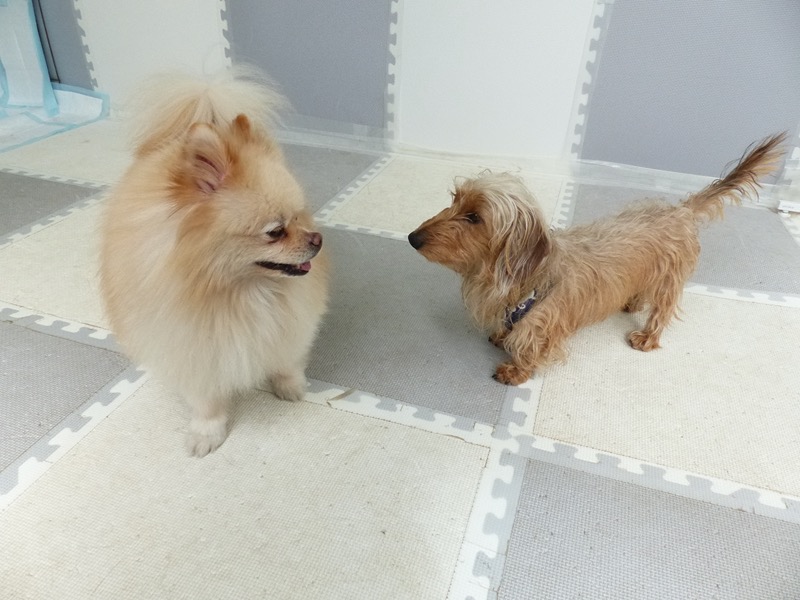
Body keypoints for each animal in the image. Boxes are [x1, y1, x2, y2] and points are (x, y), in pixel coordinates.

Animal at [99, 69, 329, 456]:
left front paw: (289, 385)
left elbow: (286, 356)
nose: (317, 240)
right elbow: (205, 399)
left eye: (301, 216)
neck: (236, 292)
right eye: (275, 231)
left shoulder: (290, 321)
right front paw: (207, 432)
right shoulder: (190, 344)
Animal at [408, 133, 786, 385]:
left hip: (670, 279)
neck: (529, 281)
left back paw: (647, 337)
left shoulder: (544, 326)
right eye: (455, 199)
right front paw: (502, 336)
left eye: (475, 217)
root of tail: (680, 209)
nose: (413, 238)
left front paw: (515, 370)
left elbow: (531, 348)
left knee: (662, 310)